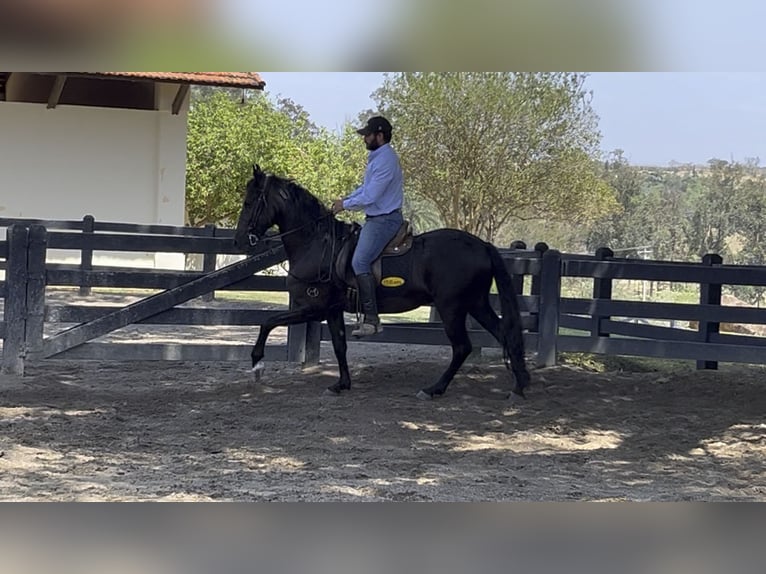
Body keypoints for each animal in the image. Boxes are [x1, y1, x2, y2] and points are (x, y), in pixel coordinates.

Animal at [234, 166, 532, 400]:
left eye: (249, 203)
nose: (239, 241)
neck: (317, 243)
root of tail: (482, 245)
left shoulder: (313, 308)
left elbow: (268, 322)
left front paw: (257, 364)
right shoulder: (331, 310)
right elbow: (339, 345)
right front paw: (341, 384)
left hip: (452, 308)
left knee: (462, 347)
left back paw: (434, 389)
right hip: (476, 303)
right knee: (503, 334)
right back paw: (518, 386)